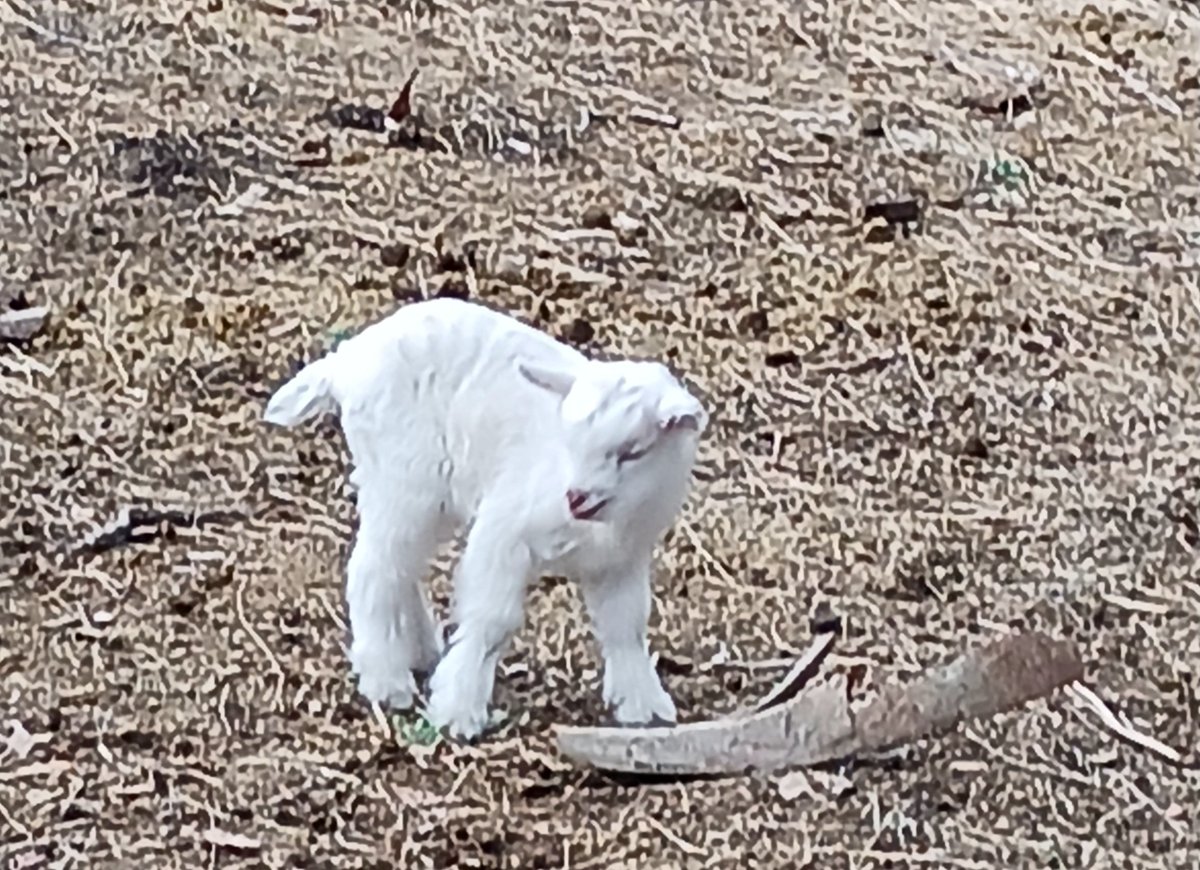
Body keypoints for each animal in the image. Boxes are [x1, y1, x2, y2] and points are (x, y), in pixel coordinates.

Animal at [262, 298, 705, 739]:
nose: (576, 496)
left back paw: (420, 652)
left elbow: (626, 625)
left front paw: (644, 705)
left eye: (633, 452)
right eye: (571, 440)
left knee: (400, 565)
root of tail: (346, 359)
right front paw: (458, 710)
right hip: (403, 477)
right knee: (373, 568)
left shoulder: (621, 560)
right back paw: (386, 680)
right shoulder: (505, 530)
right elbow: (491, 619)